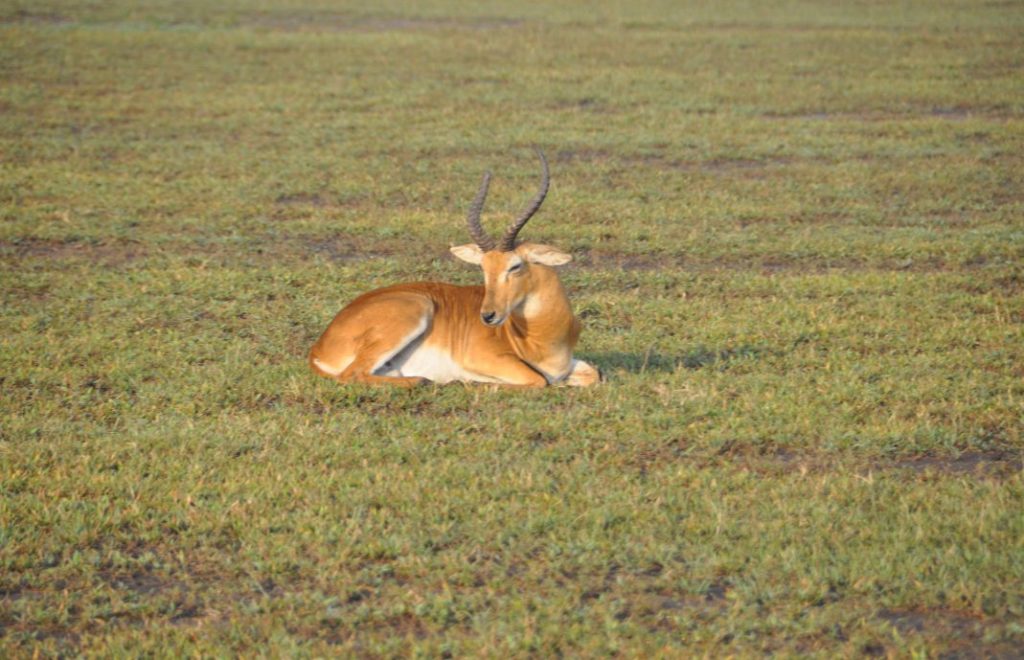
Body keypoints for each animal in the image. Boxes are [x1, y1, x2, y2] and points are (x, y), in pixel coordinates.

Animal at [307, 148, 602, 386]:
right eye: (483, 268)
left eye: (515, 266)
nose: (488, 316)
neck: (543, 336)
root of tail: (319, 348)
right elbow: (539, 380)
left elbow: (593, 374)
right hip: (415, 311)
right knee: (353, 374)